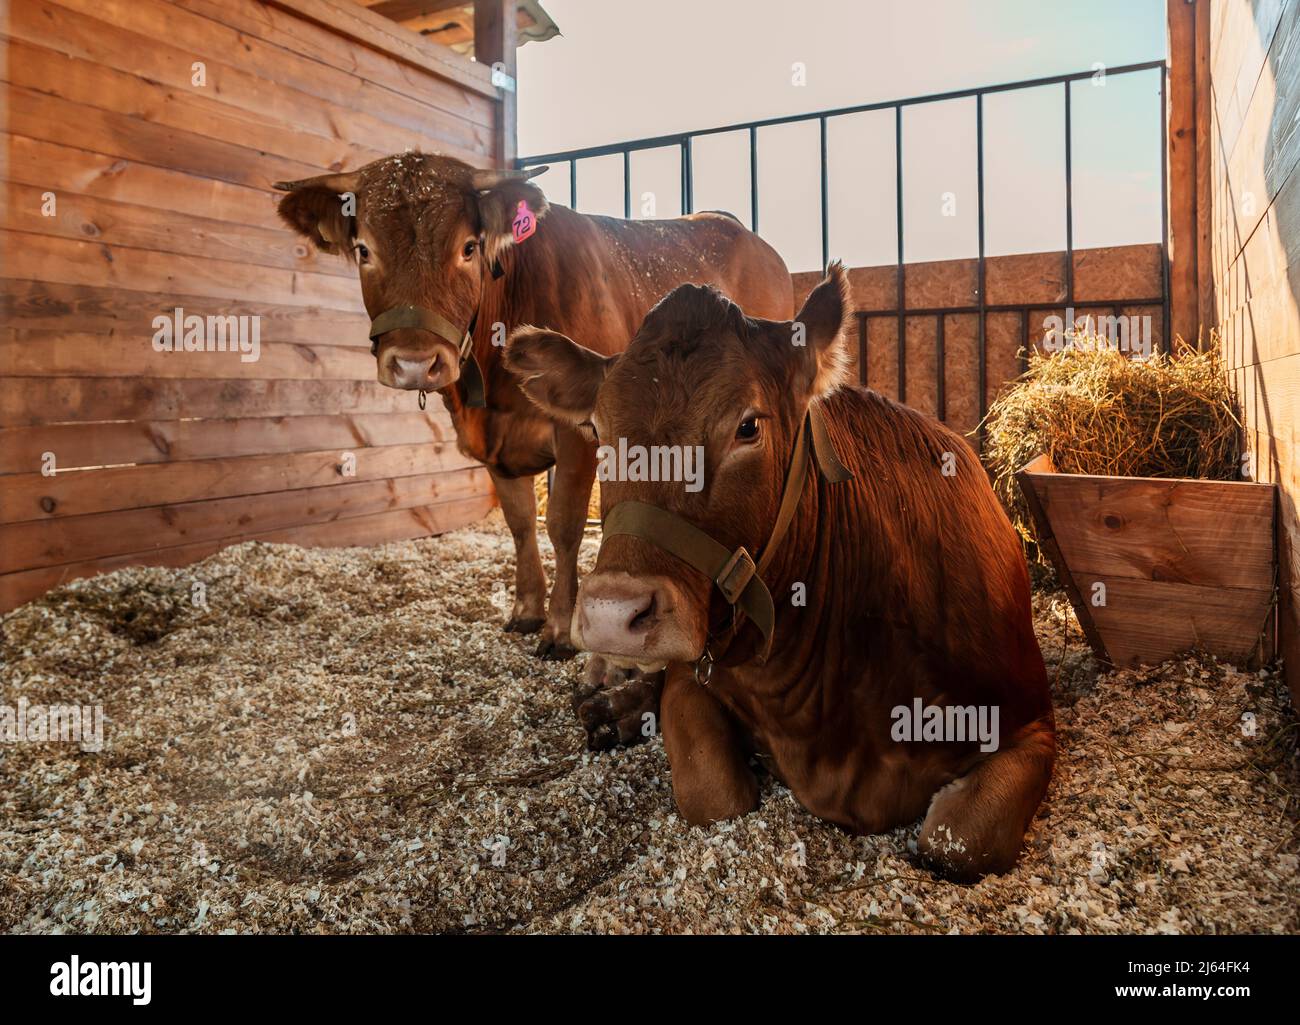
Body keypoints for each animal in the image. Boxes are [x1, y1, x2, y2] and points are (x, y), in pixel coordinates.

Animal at [274, 152, 790, 681]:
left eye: (468, 248)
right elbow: (520, 523)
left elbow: (563, 524)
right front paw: (526, 610)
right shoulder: (493, 445)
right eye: (363, 250)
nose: (415, 362)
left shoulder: (580, 434)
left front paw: (561, 629)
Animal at [501, 266, 1060, 879]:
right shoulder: (697, 675)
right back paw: (610, 709)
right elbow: (712, 792)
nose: (610, 613)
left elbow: (959, 842)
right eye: (598, 433)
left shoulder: (1030, 722)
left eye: (748, 427)